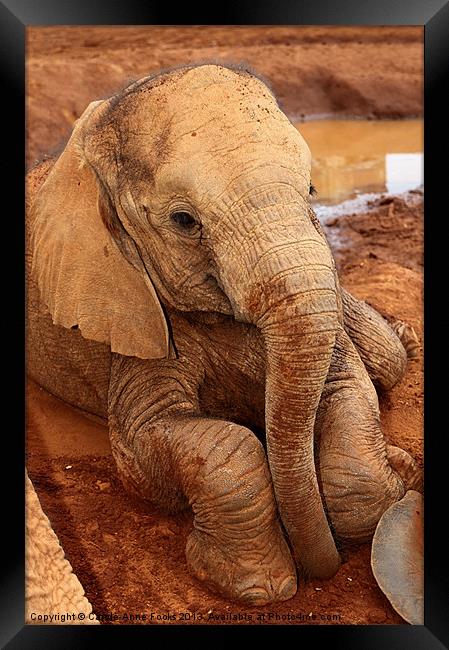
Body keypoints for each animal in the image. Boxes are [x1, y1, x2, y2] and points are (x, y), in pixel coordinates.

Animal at [27, 63, 420, 604]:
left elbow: (348, 387)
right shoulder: (132, 312)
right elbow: (155, 445)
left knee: (385, 358)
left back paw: (406, 341)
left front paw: (396, 477)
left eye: (312, 191)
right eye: (183, 220)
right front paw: (257, 588)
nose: (326, 569)